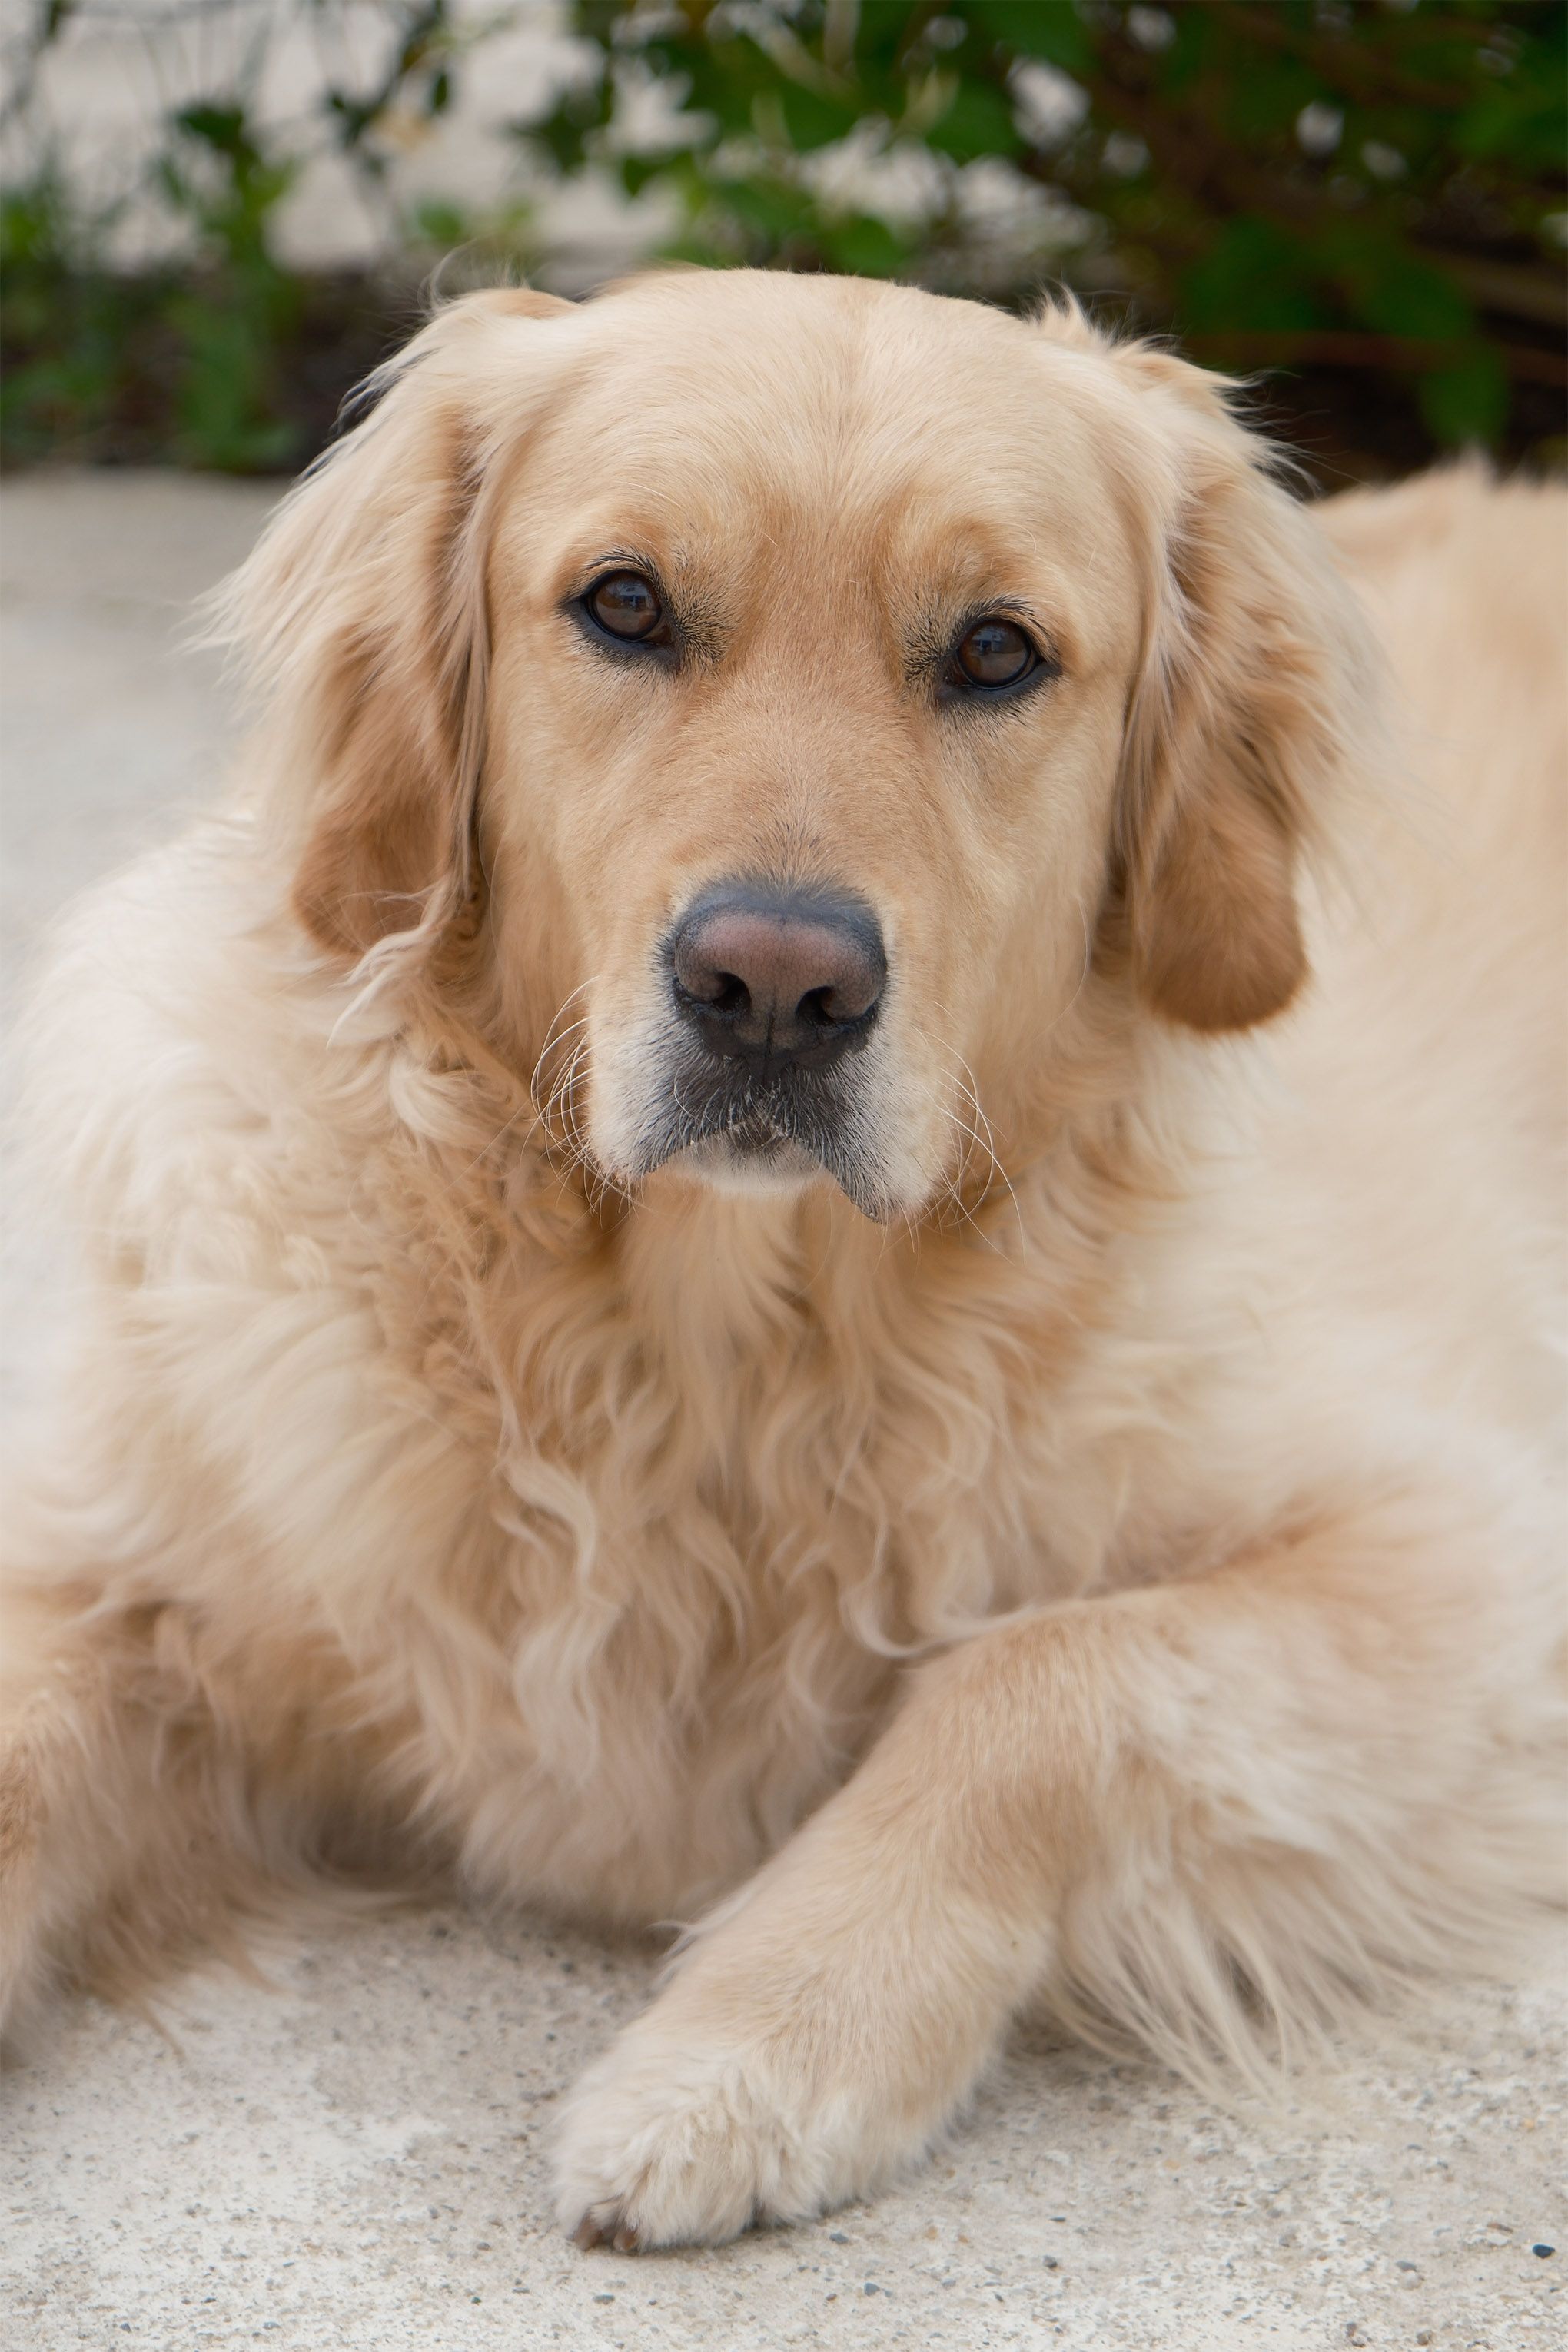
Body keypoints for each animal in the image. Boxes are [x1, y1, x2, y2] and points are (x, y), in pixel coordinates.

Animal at [2, 267, 1568, 2248]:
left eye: (994, 652)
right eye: (625, 605)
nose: (773, 989)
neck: (711, 1355)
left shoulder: (1469, 1556)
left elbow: (1037, 1677)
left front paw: (759, 2045)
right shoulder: (131, 1553)